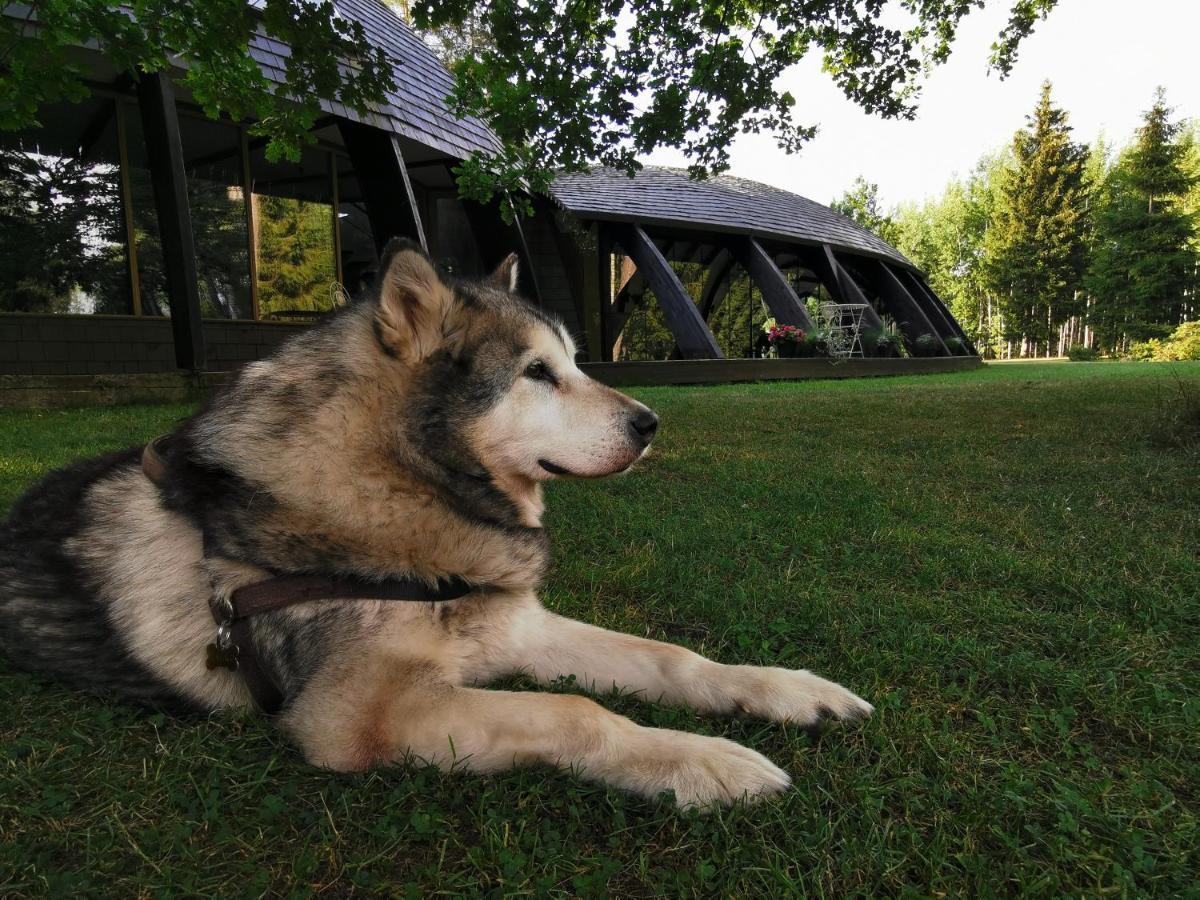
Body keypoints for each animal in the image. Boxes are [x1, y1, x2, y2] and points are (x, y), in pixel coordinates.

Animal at [4, 241, 878, 811]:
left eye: (572, 362)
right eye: (536, 374)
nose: (651, 423)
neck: (402, 483)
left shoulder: (514, 628)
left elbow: (672, 658)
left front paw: (786, 691)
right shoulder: (359, 714)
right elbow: (574, 712)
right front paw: (706, 765)